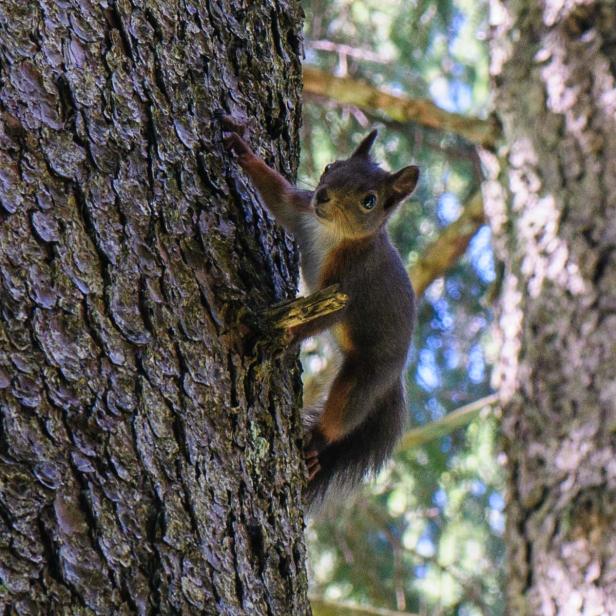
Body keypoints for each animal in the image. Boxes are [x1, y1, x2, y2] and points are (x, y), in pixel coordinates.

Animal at [221, 115, 418, 506]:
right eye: (331, 166)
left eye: (369, 201)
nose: (322, 195)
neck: (332, 233)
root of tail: (395, 377)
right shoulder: (302, 213)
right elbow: (278, 197)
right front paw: (244, 150)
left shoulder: (348, 287)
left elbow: (324, 317)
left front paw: (283, 335)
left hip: (365, 377)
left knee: (343, 416)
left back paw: (317, 444)